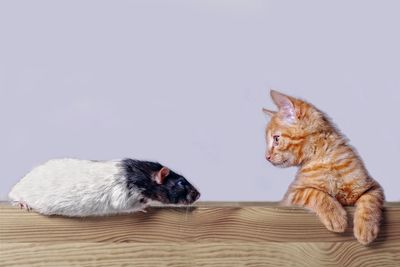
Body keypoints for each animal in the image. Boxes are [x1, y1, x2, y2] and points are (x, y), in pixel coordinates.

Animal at [262, 91, 384, 246]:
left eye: (276, 139)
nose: (266, 157)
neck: (325, 160)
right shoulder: (292, 196)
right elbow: (315, 193)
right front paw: (335, 216)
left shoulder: (372, 187)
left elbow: (369, 201)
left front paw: (366, 228)